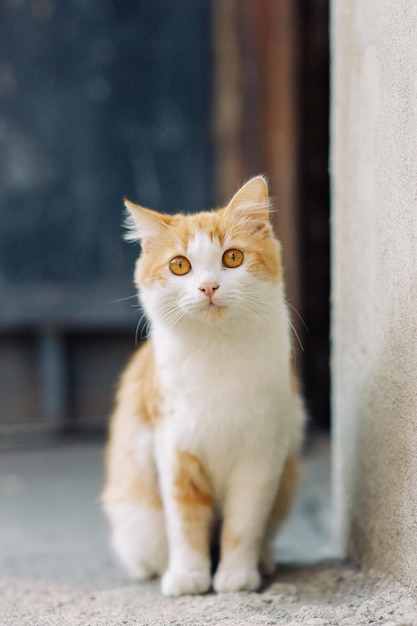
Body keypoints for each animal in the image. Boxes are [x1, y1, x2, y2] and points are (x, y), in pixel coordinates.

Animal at [102, 176, 306, 596]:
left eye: (233, 258)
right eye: (179, 265)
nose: (209, 287)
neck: (217, 352)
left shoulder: (261, 455)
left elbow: (243, 524)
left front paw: (236, 576)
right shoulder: (175, 448)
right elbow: (186, 523)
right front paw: (188, 576)